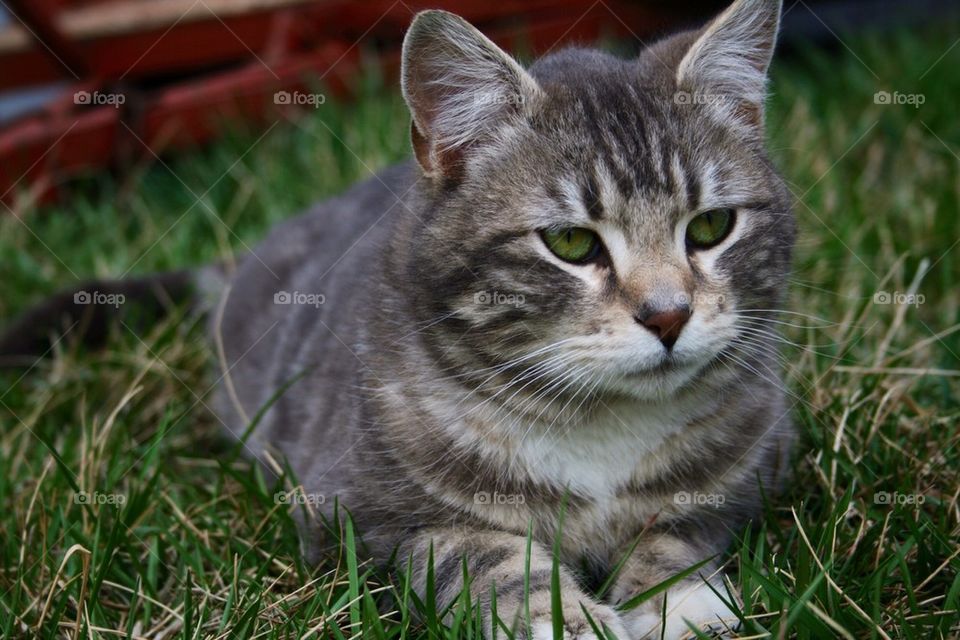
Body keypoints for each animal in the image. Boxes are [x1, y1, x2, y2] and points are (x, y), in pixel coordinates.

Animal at [1, 0, 796, 636]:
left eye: (711, 226)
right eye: (572, 242)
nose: (669, 315)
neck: (602, 429)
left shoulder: (753, 473)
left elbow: (678, 529)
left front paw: (679, 602)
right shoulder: (361, 517)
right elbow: (481, 554)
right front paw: (563, 620)